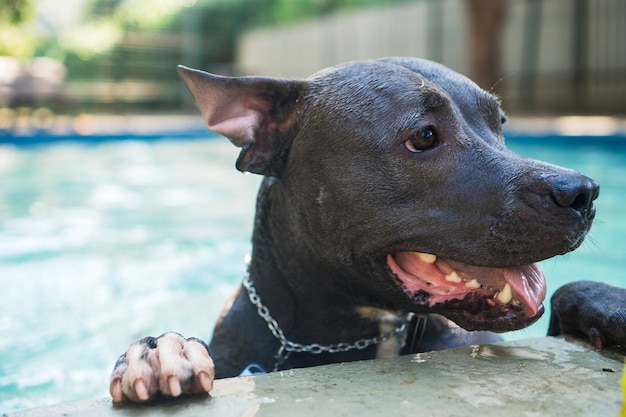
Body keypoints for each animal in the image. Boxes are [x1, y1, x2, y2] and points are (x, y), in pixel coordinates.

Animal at [109, 57, 620, 402]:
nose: (583, 192)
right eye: (424, 136)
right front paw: (159, 352)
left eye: (500, 124)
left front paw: (609, 304)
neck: (359, 331)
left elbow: (572, 290)